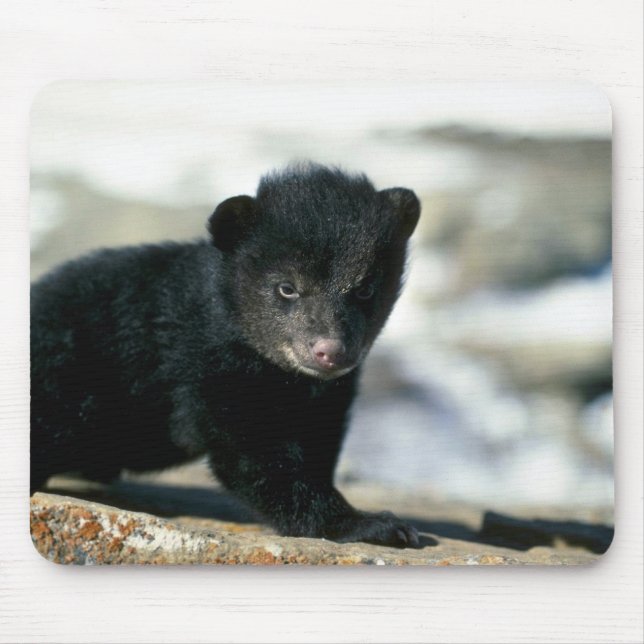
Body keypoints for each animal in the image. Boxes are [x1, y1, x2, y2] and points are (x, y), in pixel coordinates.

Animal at [30, 162, 422, 548]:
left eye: (365, 288)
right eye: (287, 287)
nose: (331, 351)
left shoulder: (324, 395)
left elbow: (315, 441)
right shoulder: (209, 367)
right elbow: (252, 453)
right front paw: (372, 524)